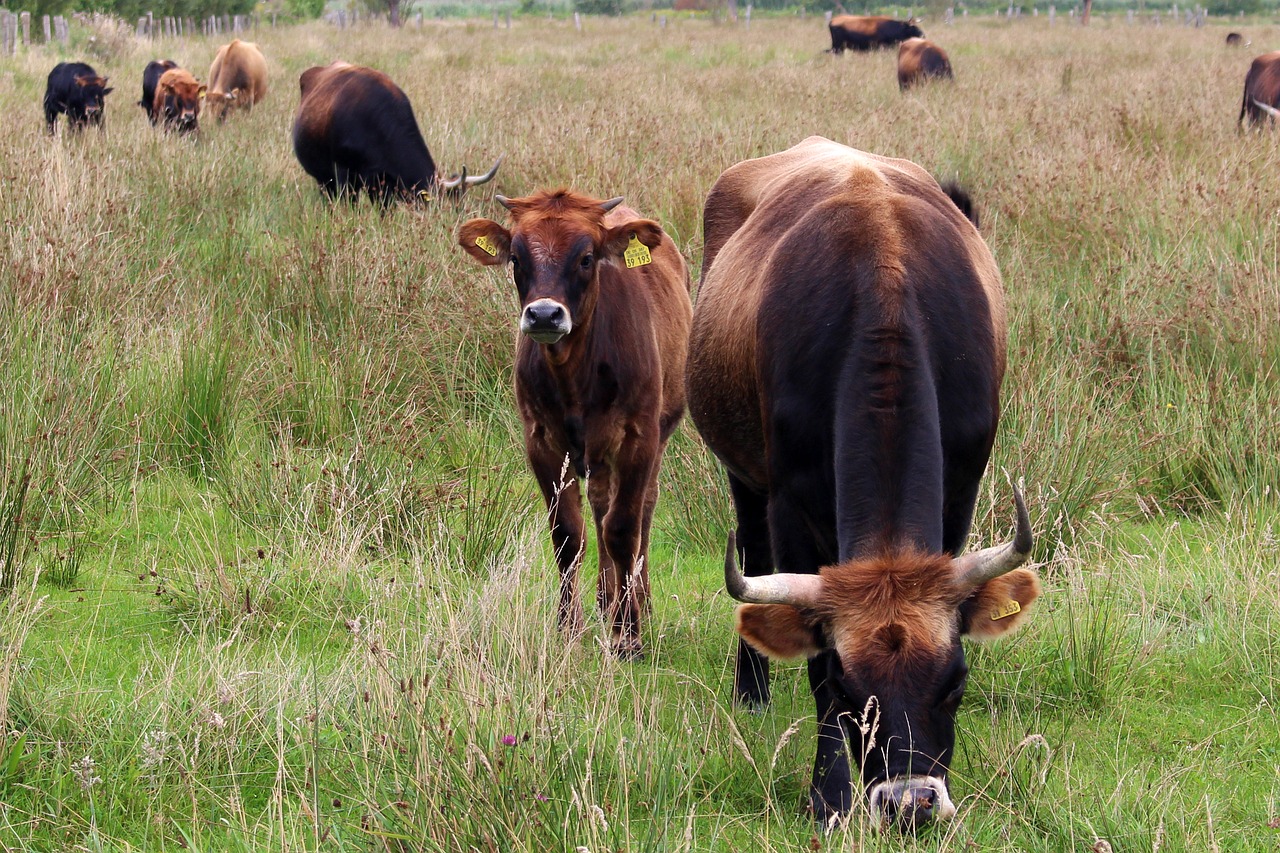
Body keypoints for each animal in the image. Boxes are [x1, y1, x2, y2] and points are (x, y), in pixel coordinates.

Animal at [458, 189, 691, 655]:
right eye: (515, 257)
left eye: (586, 258)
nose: (545, 315)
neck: (575, 375)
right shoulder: (542, 441)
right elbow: (568, 536)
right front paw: (569, 627)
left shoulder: (639, 437)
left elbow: (623, 529)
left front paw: (627, 632)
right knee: (600, 506)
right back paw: (605, 598)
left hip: (657, 435)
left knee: (643, 508)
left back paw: (639, 599)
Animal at [691, 136, 1039, 824]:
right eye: (851, 687)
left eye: (956, 679)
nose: (911, 803)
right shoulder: (790, 506)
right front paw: (828, 795)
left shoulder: (960, 494)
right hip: (744, 478)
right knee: (753, 553)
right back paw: (753, 694)